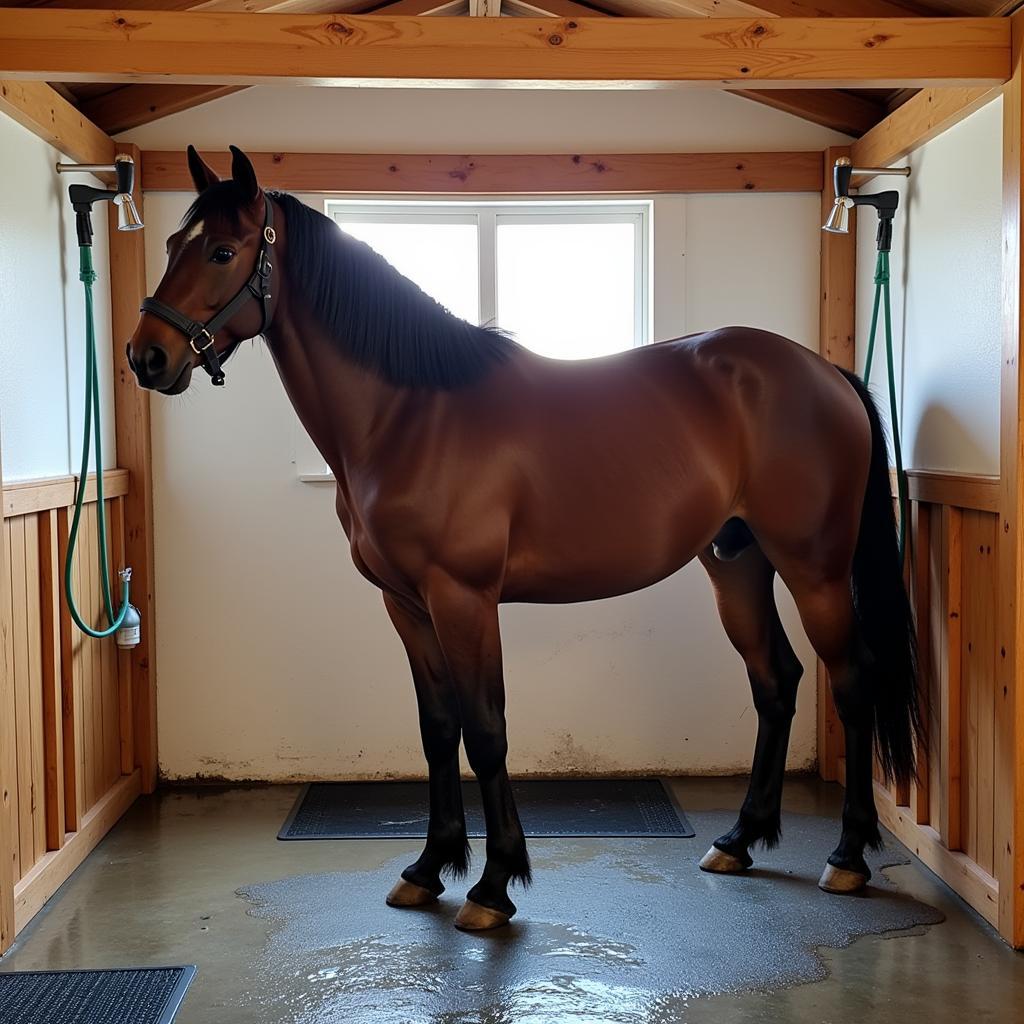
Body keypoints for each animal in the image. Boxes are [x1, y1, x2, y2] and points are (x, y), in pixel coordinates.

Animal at [128, 148, 921, 933]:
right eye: (170, 245)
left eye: (222, 251)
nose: (146, 357)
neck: (409, 414)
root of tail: (825, 373)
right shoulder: (406, 605)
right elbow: (438, 728)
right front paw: (428, 868)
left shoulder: (464, 599)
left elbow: (486, 730)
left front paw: (493, 884)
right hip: (737, 565)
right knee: (776, 681)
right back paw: (740, 839)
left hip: (815, 569)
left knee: (852, 682)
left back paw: (848, 856)